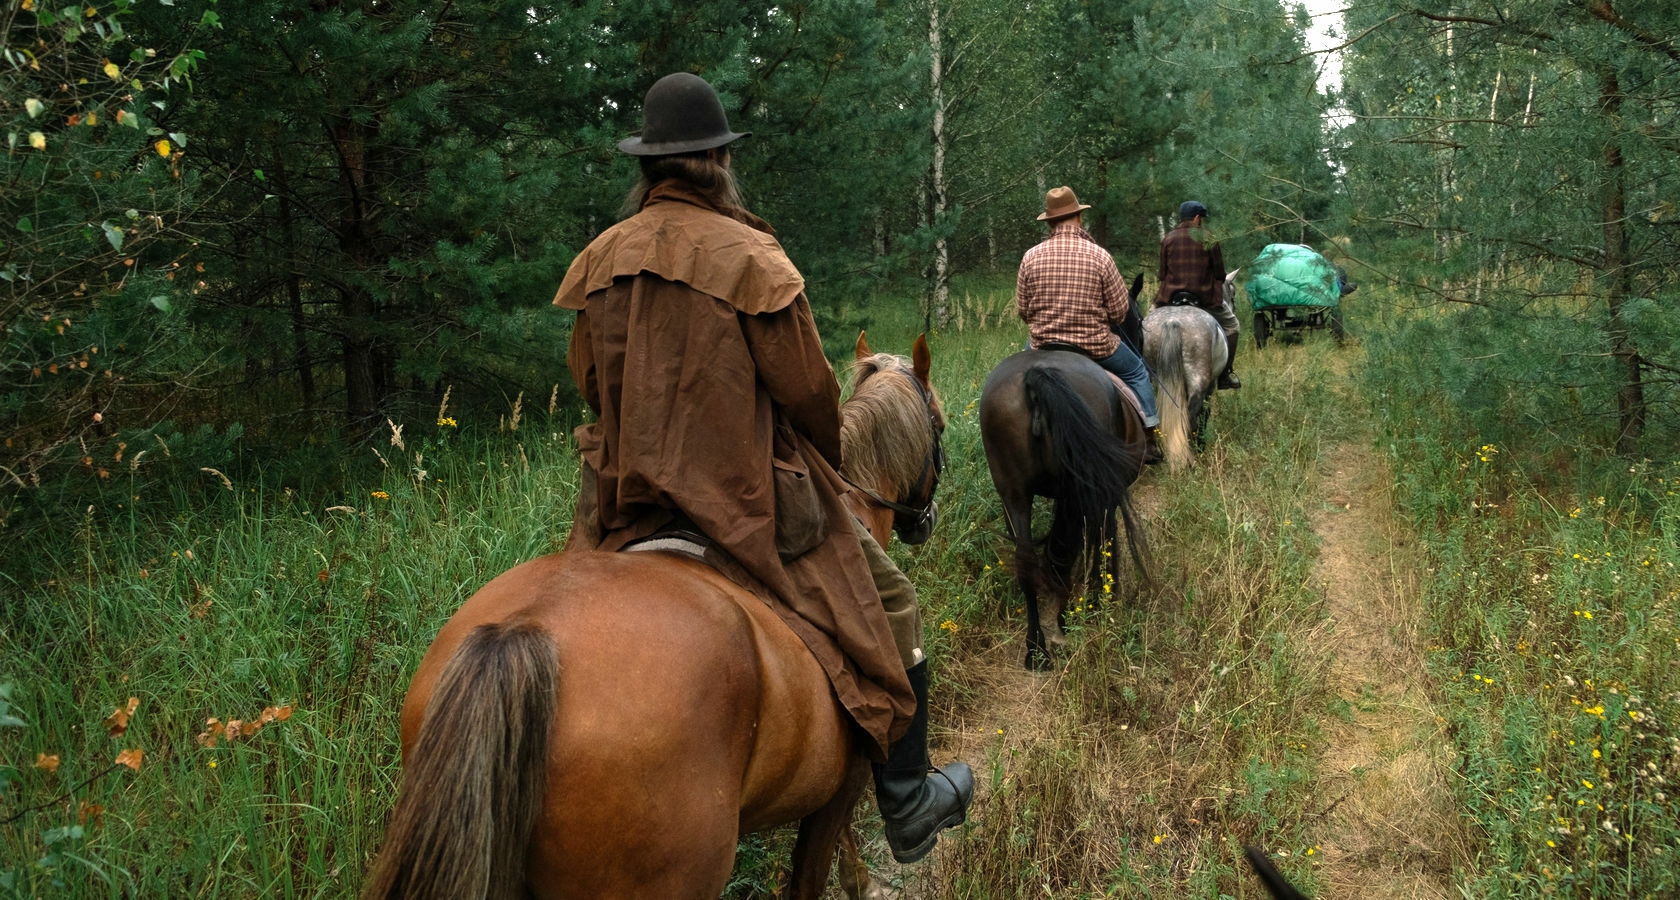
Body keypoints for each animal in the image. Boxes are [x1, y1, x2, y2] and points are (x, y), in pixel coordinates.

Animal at [981, 347, 1149, 671]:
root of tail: (1036, 376)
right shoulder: (1103, 495)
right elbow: (1103, 541)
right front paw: (1099, 599)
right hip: (1077, 490)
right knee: (1070, 546)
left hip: (1014, 492)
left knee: (1029, 559)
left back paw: (1036, 649)